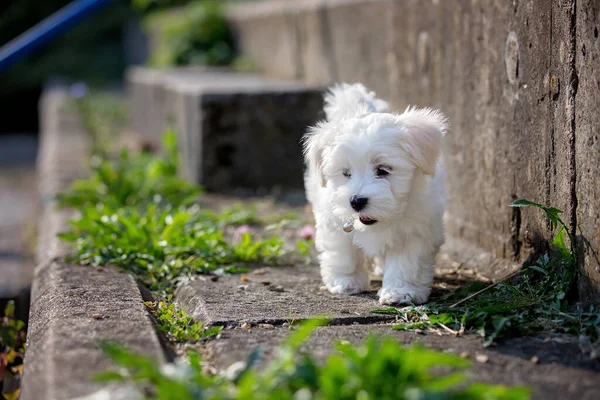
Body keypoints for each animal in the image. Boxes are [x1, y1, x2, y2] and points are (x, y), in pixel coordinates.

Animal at [302, 83, 448, 304]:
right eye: (346, 173)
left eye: (383, 170)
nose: (356, 201)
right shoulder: (333, 220)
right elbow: (343, 252)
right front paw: (346, 282)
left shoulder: (416, 229)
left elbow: (406, 263)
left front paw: (399, 292)